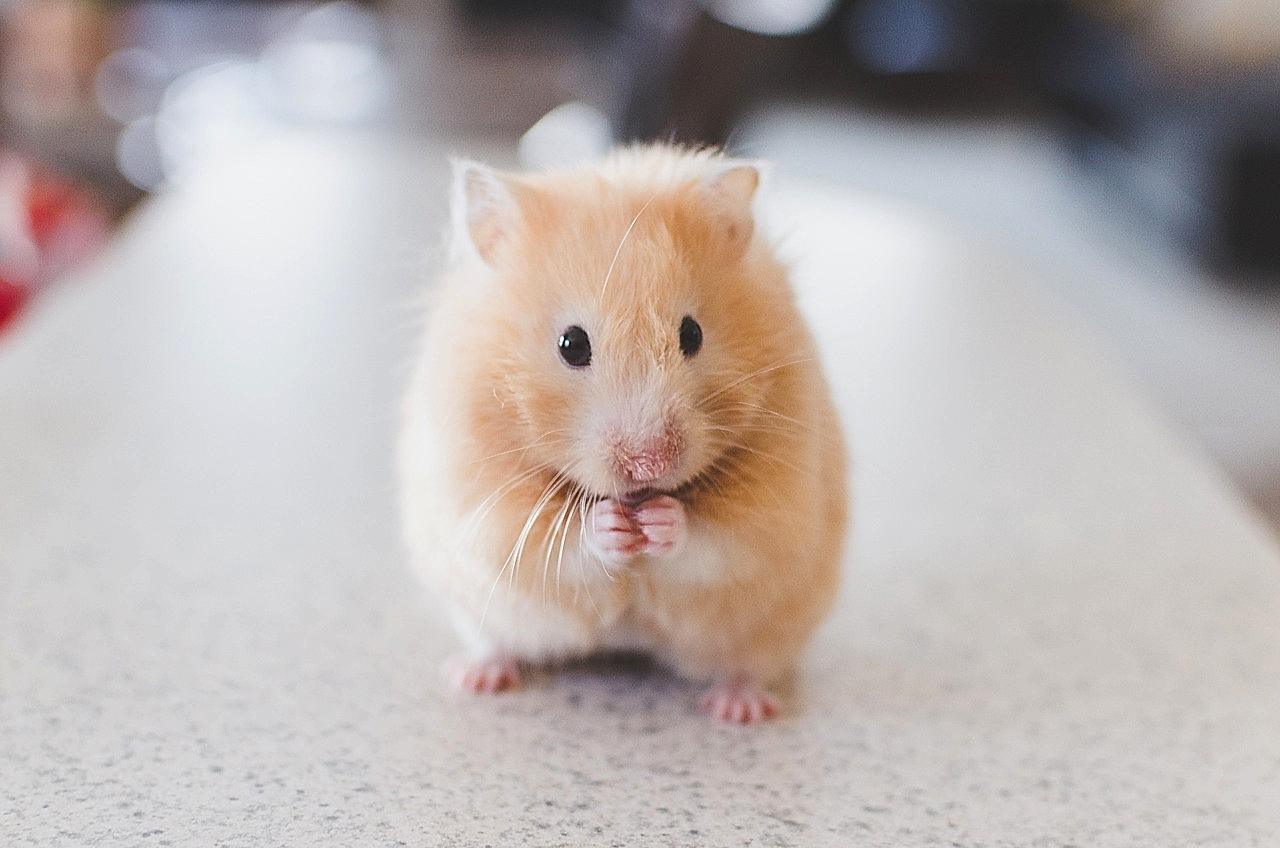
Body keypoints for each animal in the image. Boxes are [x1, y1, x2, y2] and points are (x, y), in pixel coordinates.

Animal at [398, 144, 847, 723]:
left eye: (692, 334)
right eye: (571, 344)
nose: (649, 465)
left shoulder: (776, 510)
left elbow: (717, 541)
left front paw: (660, 521)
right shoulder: (483, 506)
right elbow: (556, 543)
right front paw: (612, 525)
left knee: (746, 665)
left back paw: (739, 709)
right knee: (495, 641)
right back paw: (475, 677)